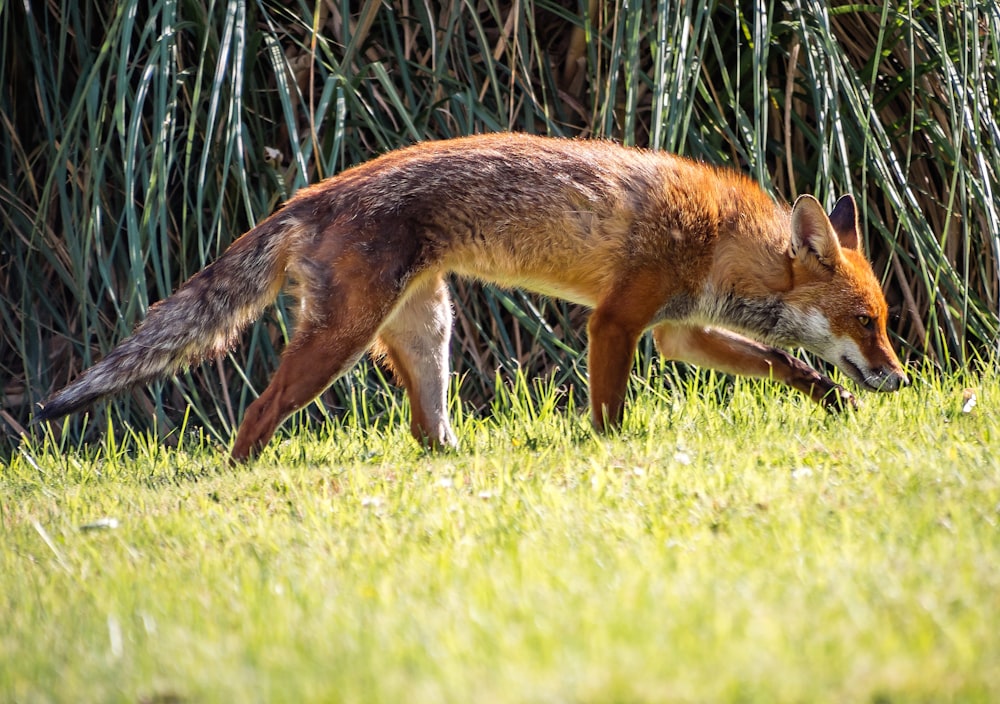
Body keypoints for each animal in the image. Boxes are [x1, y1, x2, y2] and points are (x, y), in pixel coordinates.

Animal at [33, 132, 908, 462]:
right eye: (866, 322)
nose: (899, 377)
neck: (718, 239)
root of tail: (311, 194)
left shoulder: (676, 331)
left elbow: (776, 361)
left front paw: (828, 397)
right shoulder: (618, 319)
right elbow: (609, 410)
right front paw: (609, 449)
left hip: (429, 333)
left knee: (426, 430)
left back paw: (460, 460)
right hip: (338, 342)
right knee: (258, 411)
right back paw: (239, 472)